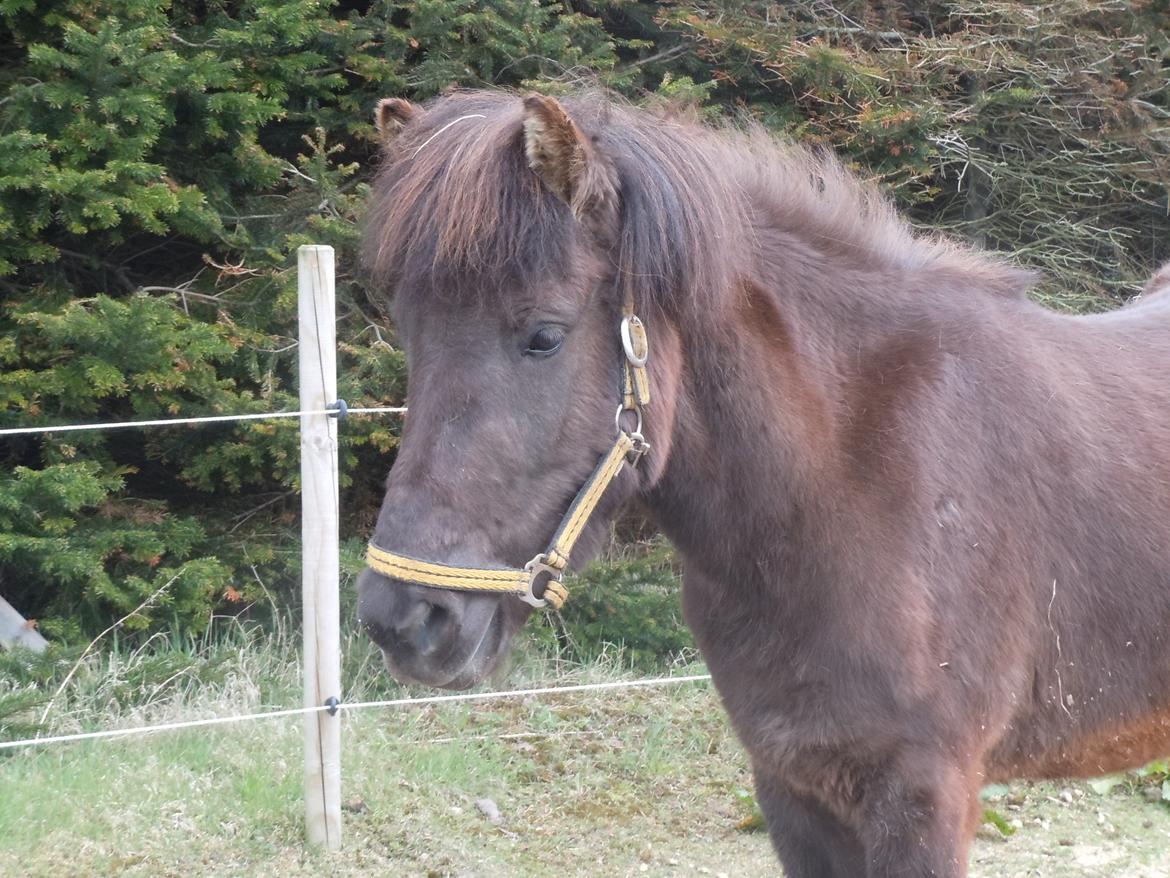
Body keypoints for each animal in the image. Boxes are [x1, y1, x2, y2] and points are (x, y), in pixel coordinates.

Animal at [353, 91, 1170, 878]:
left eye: (544, 336)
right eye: (412, 332)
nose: (405, 619)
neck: (852, 485)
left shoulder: (924, 797)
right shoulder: (791, 787)